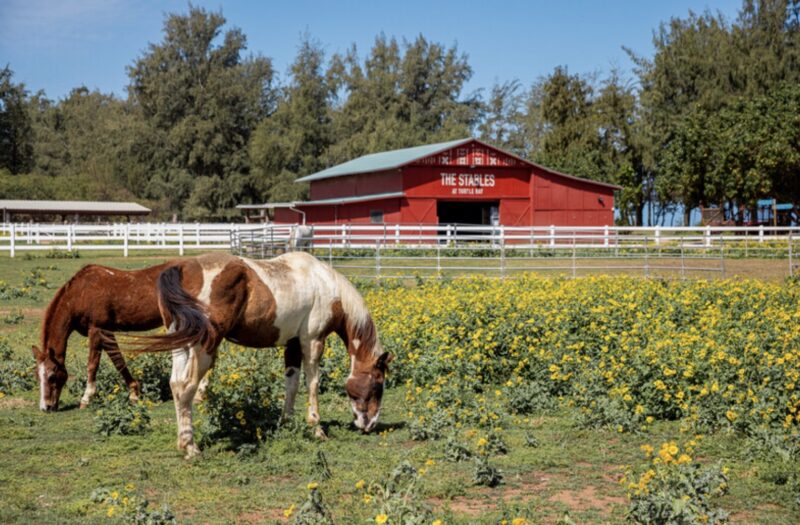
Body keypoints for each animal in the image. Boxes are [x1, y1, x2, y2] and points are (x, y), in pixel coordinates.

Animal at [32, 262, 177, 410]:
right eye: (37, 376)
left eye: (52, 376)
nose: (45, 407)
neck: (80, 294)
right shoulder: (107, 332)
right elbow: (118, 360)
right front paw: (134, 393)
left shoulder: (97, 330)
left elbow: (92, 364)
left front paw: (86, 398)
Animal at [138, 252, 394, 456]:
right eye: (378, 384)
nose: (370, 424)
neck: (326, 286)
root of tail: (183, 268)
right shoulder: (312, 341)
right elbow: (312, 383)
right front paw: (316, 428)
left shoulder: (292, 345)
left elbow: (292, 384)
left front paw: (286, 421)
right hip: (204, 347)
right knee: (186, 387)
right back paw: (191, 447)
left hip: (182, 345)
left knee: (175, 385)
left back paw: (182, 442)